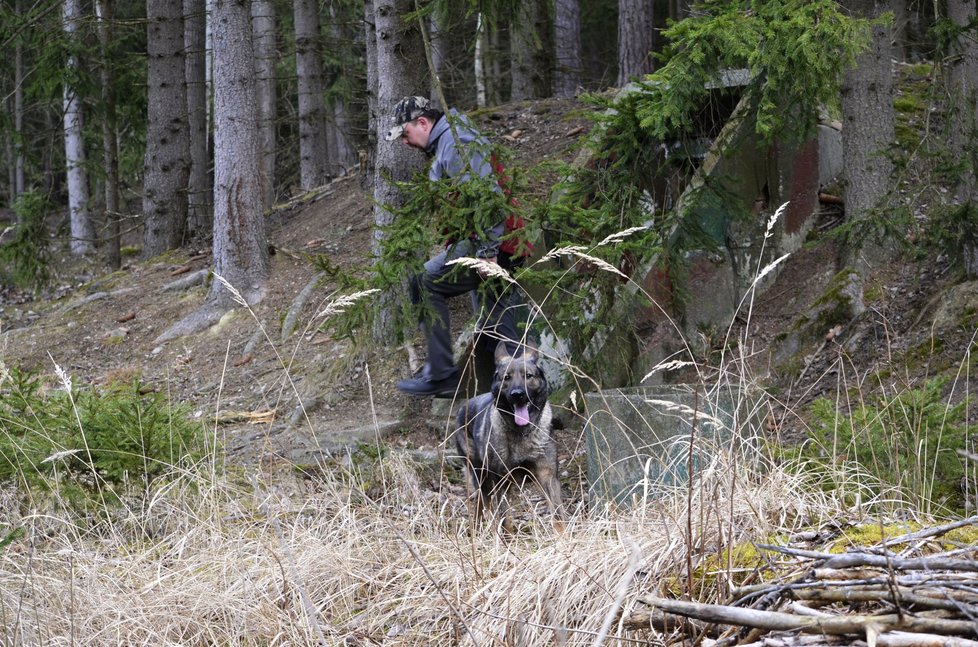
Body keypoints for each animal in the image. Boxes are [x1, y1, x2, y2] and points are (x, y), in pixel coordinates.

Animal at [454, 342, 560, 524]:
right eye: (506, 378)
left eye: (528, 376)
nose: (517, 394)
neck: (522, 432)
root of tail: (463, 407)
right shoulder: (501, 483)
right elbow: (506, 521)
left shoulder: (547, 476)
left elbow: (559, 518)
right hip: (482, 477)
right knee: (484, 507)